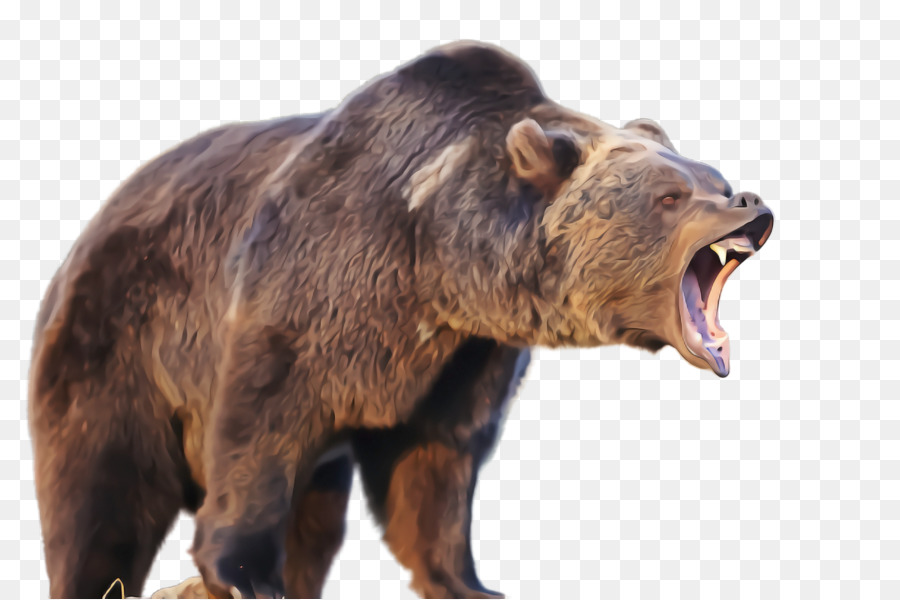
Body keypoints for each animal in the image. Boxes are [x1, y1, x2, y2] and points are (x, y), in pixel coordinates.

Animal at [28, 41, 774, 599]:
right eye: (671, 196)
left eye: (713, 177)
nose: (749, 202)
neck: (435, 258)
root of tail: (86, 232)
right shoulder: (308, 286)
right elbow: (259, 426)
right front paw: (243, 574)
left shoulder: (467, 352)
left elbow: (438, 461)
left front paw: (467, 580)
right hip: (118, 340)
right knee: (101, 492)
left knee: (316, 517)